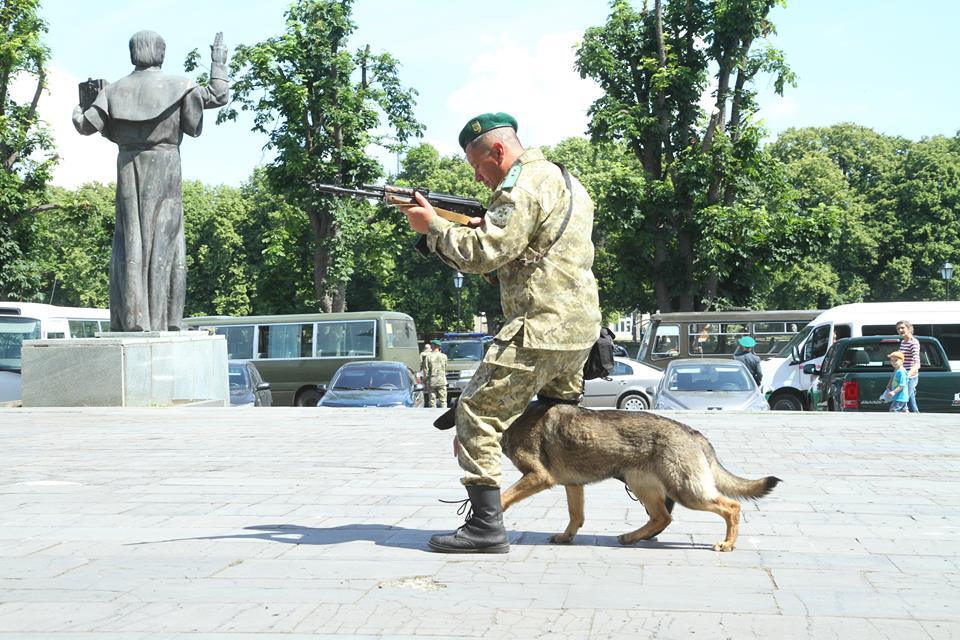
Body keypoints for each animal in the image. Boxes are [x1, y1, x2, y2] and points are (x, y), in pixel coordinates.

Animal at [498, 404, 776, 552]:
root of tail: (692, 432)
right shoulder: (573, 485)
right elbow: (576, 516)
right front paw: (566, 538)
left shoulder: (538, 476)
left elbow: (503, 497)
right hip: (642, 485)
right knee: (662, 517)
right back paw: (632, 537)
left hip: (686, 492)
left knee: (731, 507)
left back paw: (727, 543)